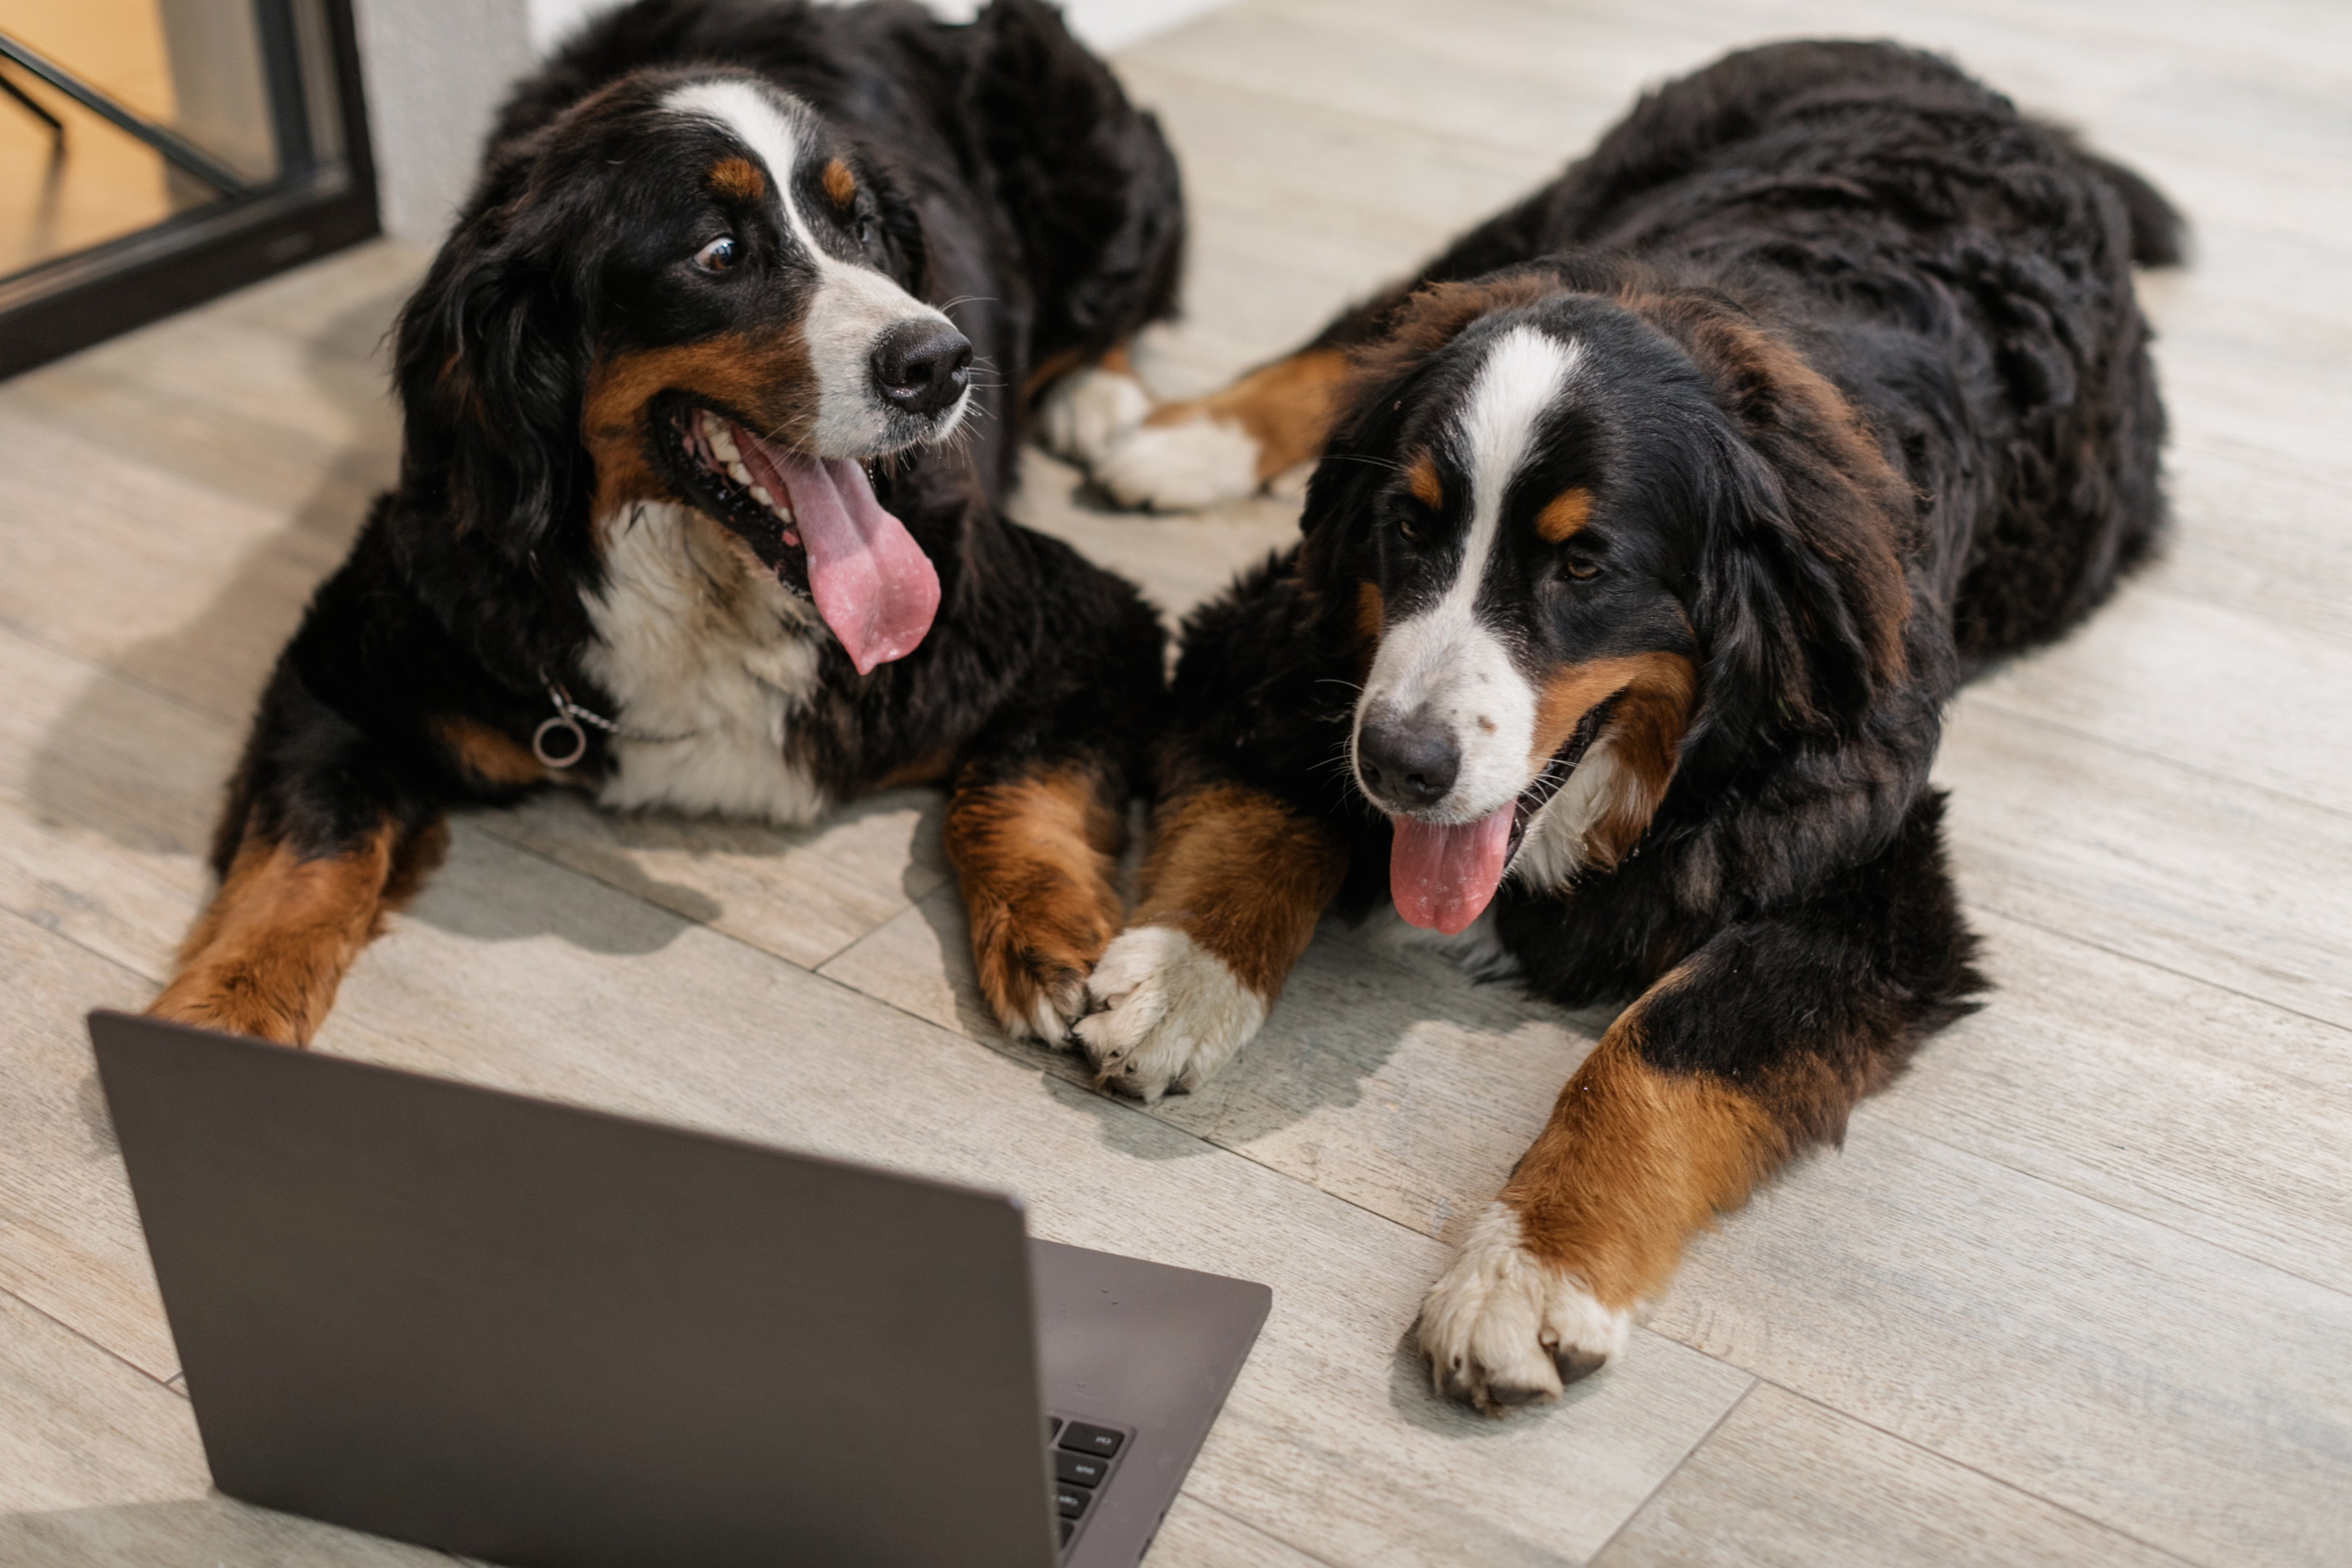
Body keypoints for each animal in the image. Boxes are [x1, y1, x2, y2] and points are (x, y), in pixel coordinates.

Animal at [142, 0, 1194, 1053]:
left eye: (862, 228)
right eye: (719, 254)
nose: (942, 362)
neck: (707, 586)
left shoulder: (1081, 618)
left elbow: (1016, 787)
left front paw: (1049, 935)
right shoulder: (346, 669)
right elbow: (306, 859)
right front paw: (219, 1011)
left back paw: (1103, 402)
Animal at [1058, 40, 2173, 1410]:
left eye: (1583, 565)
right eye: (1409, 527)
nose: (1400, 765)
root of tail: (1961, 81)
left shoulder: (1871, 882)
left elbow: (1667, 1047)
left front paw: (1532, 1269)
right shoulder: (1271, 640)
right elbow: (1265, 814)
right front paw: (1184, 978)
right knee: (1361, 337)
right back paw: (1182, 438)